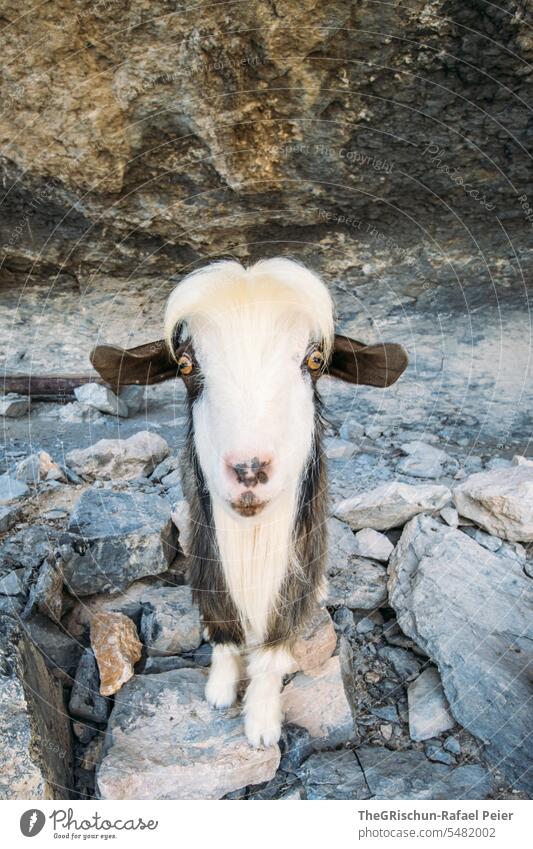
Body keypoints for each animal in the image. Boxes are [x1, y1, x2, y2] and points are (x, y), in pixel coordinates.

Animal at [91, 255, 408, 744]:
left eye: (315, 360)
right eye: (186, 365)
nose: (249, 470)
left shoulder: (298, 560)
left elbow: (275, 647)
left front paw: (261, 723)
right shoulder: (206, 552)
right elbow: (223, 629)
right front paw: (220, 691)